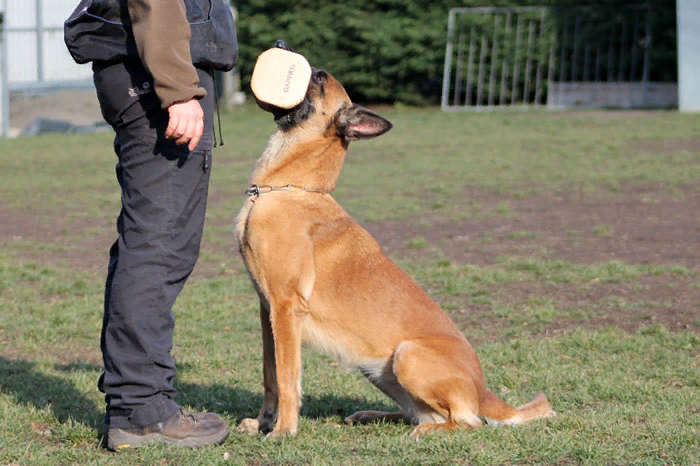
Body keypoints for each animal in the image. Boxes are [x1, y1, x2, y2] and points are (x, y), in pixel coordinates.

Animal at [234, 41, 552, 438]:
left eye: (318, 78)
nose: (280, 45)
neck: (290, 188)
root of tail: (483, 391)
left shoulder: (285, 308)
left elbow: (288, 377)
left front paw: (283, 430)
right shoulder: (268, 311)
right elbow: (270, 375)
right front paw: (263, 422)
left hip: (407, 355)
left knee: (467, 421)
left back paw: (423, 431)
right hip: (379, 369)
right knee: (423, 413)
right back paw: (371, 416)